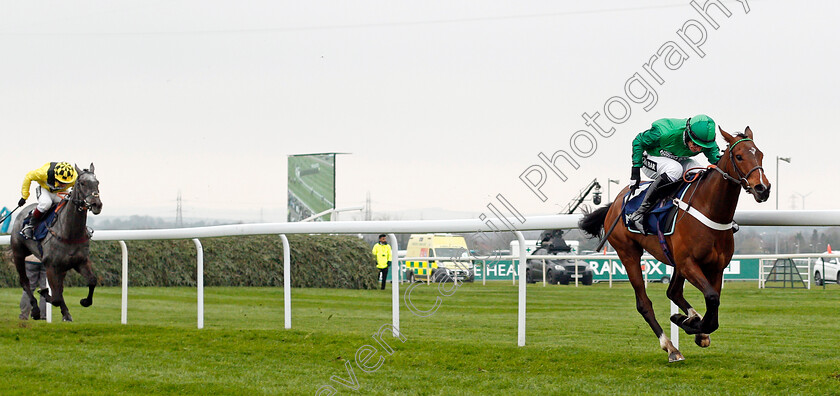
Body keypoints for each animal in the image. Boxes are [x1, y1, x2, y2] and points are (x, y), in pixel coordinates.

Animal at [9, 164, 102, 322]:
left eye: (97, 183)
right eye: (82, 183)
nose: (97, 204)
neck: (69, 233)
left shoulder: (80, 261)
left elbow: (92, 281)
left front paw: (84, 301)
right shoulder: (51, 265)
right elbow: (56, 297)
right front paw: (44, 294)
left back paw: (65, 313)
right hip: (18, 254)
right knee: (25, 282)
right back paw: (35, 310)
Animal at [580, 127, 772, 362]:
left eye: (760, 154)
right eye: (739, 156)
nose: (762, 188)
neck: (710, 209)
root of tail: (616, 203)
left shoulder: (715, 267)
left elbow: (713, 303)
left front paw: (693, 325)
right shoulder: (688, 263)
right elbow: (711, 298)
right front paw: (689, 324)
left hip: (675, 261)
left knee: (673, 292)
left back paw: (689, 319)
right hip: (629, 253)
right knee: (644, 303)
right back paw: (671, 347)